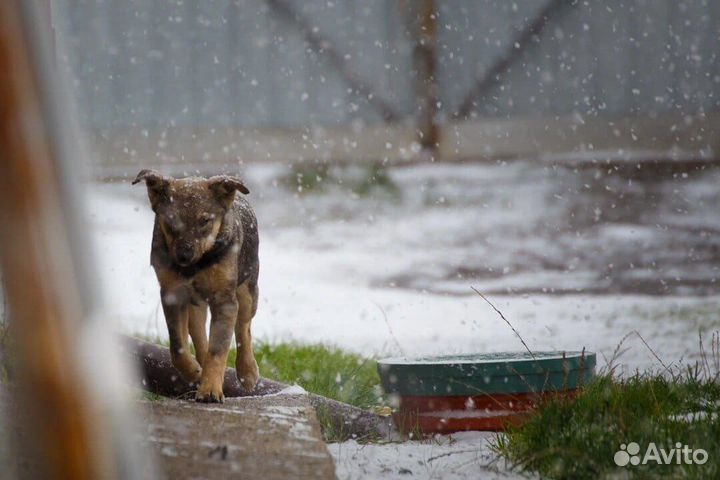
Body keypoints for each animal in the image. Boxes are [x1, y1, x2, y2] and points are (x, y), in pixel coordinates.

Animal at [134, 171, 260, 404]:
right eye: (171, 221)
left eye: (205, 221)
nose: (184, 256)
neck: (197, 265)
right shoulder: (172, 294)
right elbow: (178, 345)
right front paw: (194, 372)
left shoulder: (225, 300)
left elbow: (218, 349)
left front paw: (210, 391)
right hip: (196, 305)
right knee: (200, 337)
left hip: (248, 287)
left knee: (243, 328)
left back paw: (247, 373)